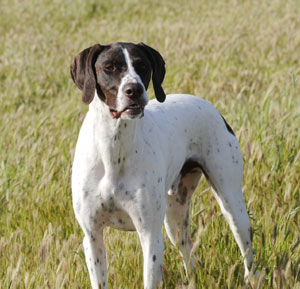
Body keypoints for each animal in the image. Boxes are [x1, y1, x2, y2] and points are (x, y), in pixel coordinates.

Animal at [70, 41, 253, 288]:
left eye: (142, 65)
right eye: (109, 67)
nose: (134, 90)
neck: (114, 149)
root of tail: (208, 105)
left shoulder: (150, 237)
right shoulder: (92, 236)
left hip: (231, 205)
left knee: (246, 250)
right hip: (175, 218)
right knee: (189, 253)